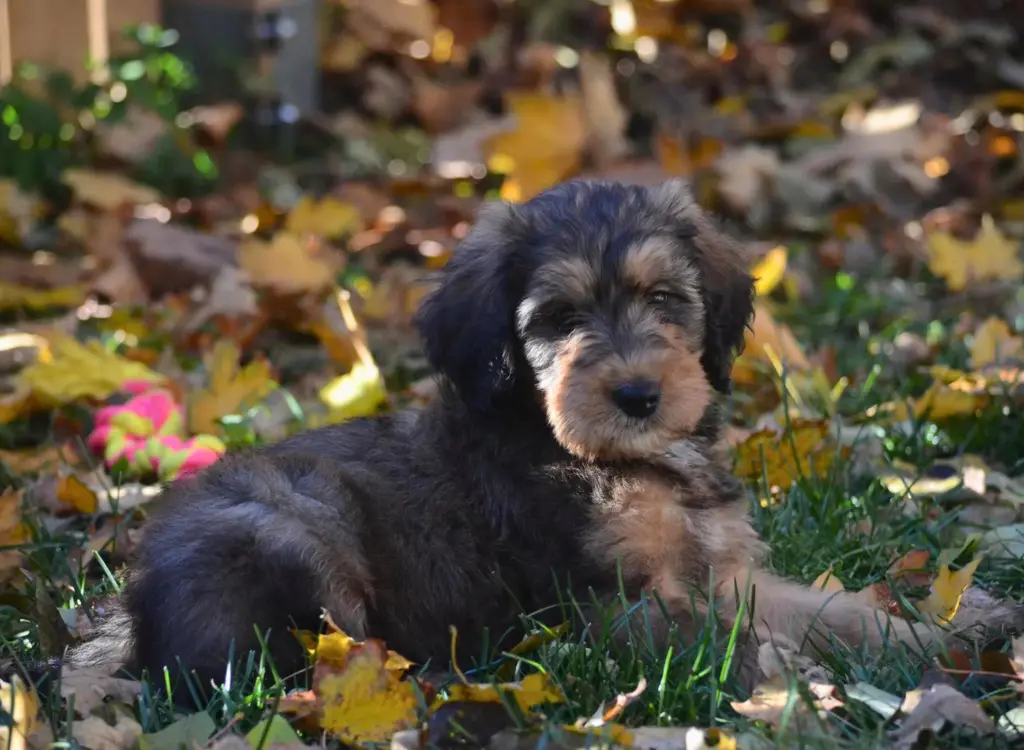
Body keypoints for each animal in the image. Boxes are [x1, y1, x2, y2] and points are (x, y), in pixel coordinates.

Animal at [72, 180, 1024, 692]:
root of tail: (135, 617)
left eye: (664, 299)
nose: (638, 394)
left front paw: (938, 638)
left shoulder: (727, 570)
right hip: (290, 528)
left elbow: (828, 608)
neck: (625, 461)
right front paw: (795, 680)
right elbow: (722, 641)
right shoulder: (599, 602)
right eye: (559, 319)